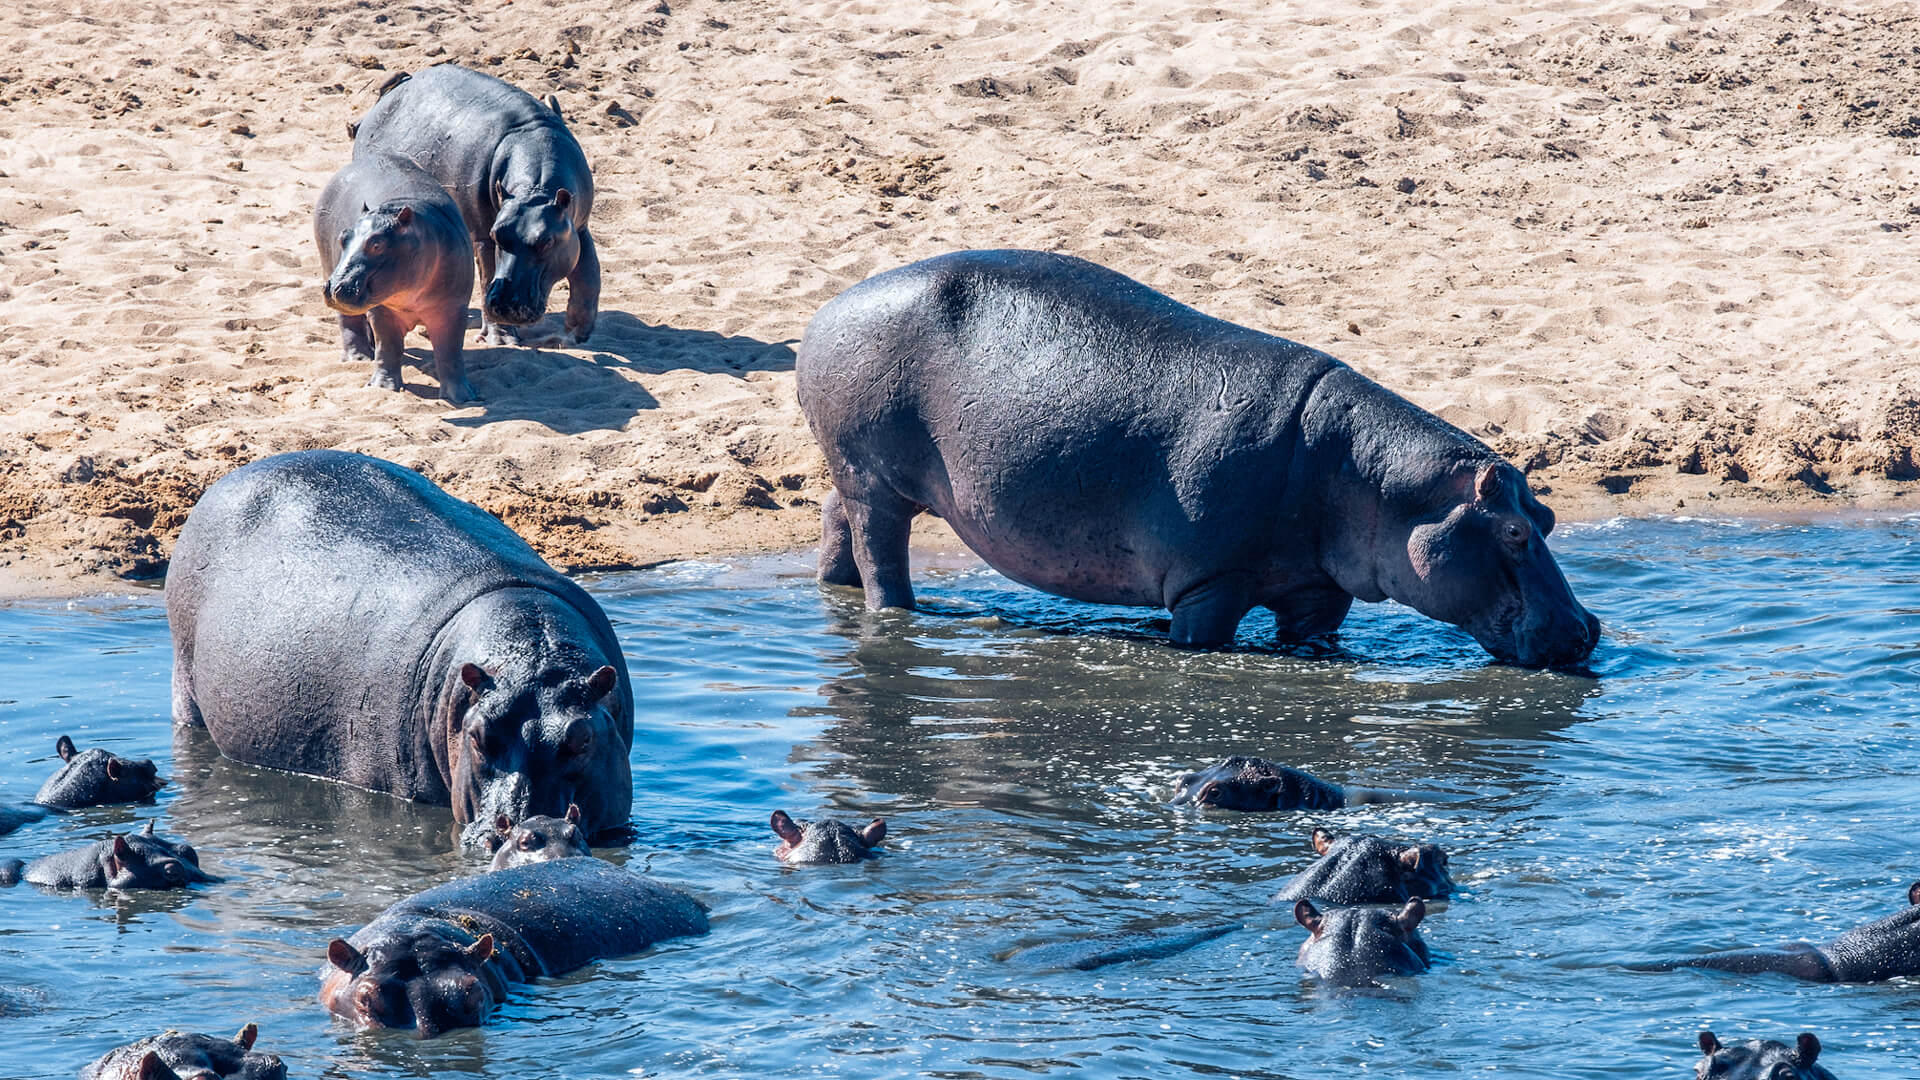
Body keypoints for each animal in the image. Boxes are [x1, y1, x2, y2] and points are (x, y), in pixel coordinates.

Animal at [167, 450, 634, 850]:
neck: (530, 655)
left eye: (583, 738)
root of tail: (233, 475)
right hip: (184, 679)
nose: (525, 828)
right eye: (477, 735)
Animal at [314, 151, 477, 403]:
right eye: (343, 237)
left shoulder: (454, 309)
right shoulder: (381, 310)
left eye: (377, 244)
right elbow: (388, 346)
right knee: (348, 322)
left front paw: (461, 397)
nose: (335, 287)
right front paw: (383, 387)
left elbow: (450, 351)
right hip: (327, 265)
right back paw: (359, 358)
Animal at [351, 64, 599, 345]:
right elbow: (488, 275)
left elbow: (589, 274)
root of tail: (387, 96)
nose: (505, 306)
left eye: (547, 241)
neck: (535, 192)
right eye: (497, 234)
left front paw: (577, 333)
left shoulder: (577, 226)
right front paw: (502, 339)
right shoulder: (482, 234)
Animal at [795, 250, 1599, 666]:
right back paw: (898, 615)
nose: (1588, 629)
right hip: (876, 479)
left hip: (860, 476)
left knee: (837, 519)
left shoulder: (1318, 592)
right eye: (1514, 532)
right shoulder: (1208, 588)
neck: (1375, 479)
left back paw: (833, 590)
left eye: (1551, 518)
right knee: (882, 555)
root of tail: (827, 308)